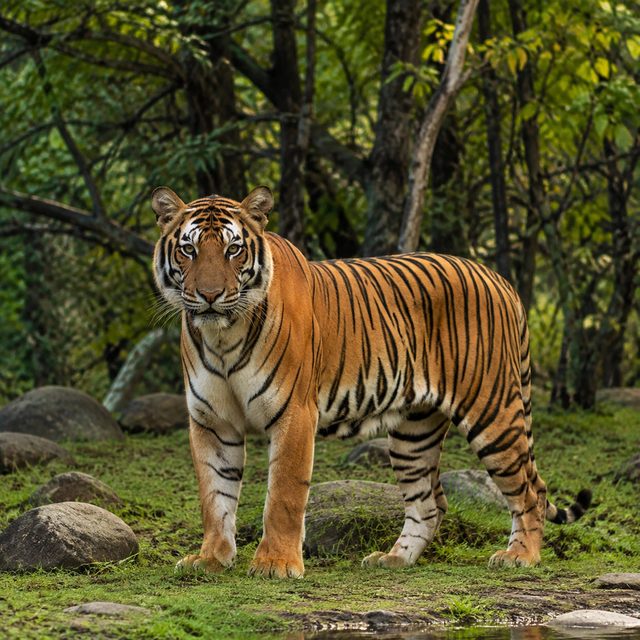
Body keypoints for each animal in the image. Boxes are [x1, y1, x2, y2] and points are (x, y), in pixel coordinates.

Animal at [151, 185, 591, 579]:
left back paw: (520, 556)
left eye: (233, 249)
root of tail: (500, 280)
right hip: (415, 430)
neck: (222, 336)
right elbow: (215, 496)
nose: (210, 295)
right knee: (430, 504)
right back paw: (394, 559)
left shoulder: (295, 414)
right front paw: (211, 559)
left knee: (531, 491)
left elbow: (284, 495)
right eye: (189, 250)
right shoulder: (212, 421)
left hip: (493, 411)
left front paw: (276, 564)